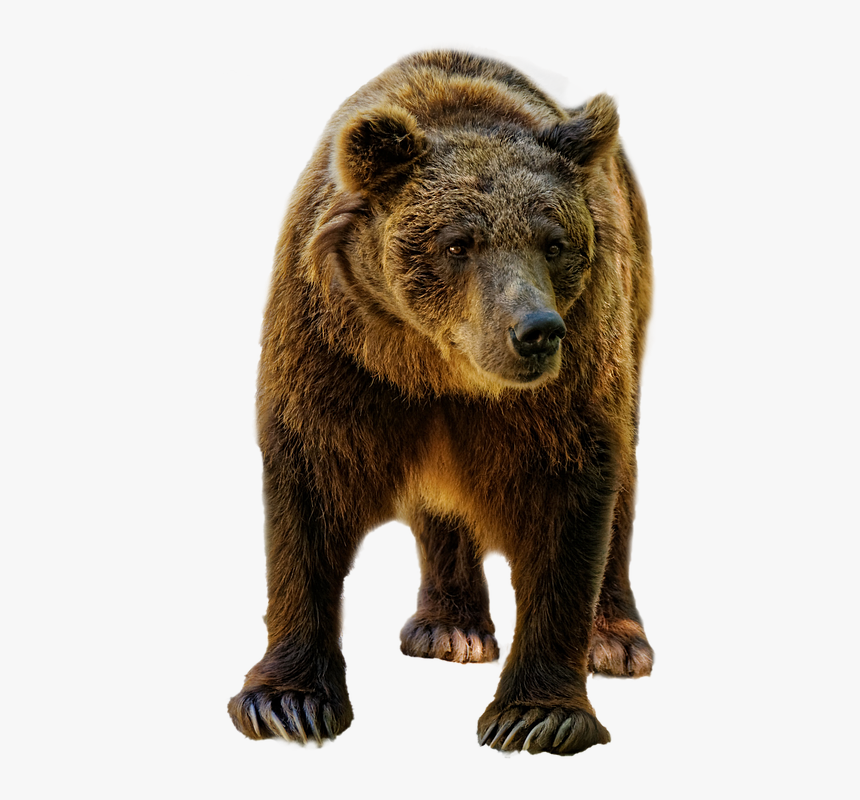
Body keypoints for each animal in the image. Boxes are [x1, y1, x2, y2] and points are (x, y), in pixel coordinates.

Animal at [228, 50, 654, 756]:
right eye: (459, 243)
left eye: (554, 241)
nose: (536, 330)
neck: (438, 368)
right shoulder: (334, 350)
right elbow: (309, 488)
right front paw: (287, 701)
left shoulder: (571, 376)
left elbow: (571, 494)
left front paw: (537, 714)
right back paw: (449, 627)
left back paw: (617, 639)